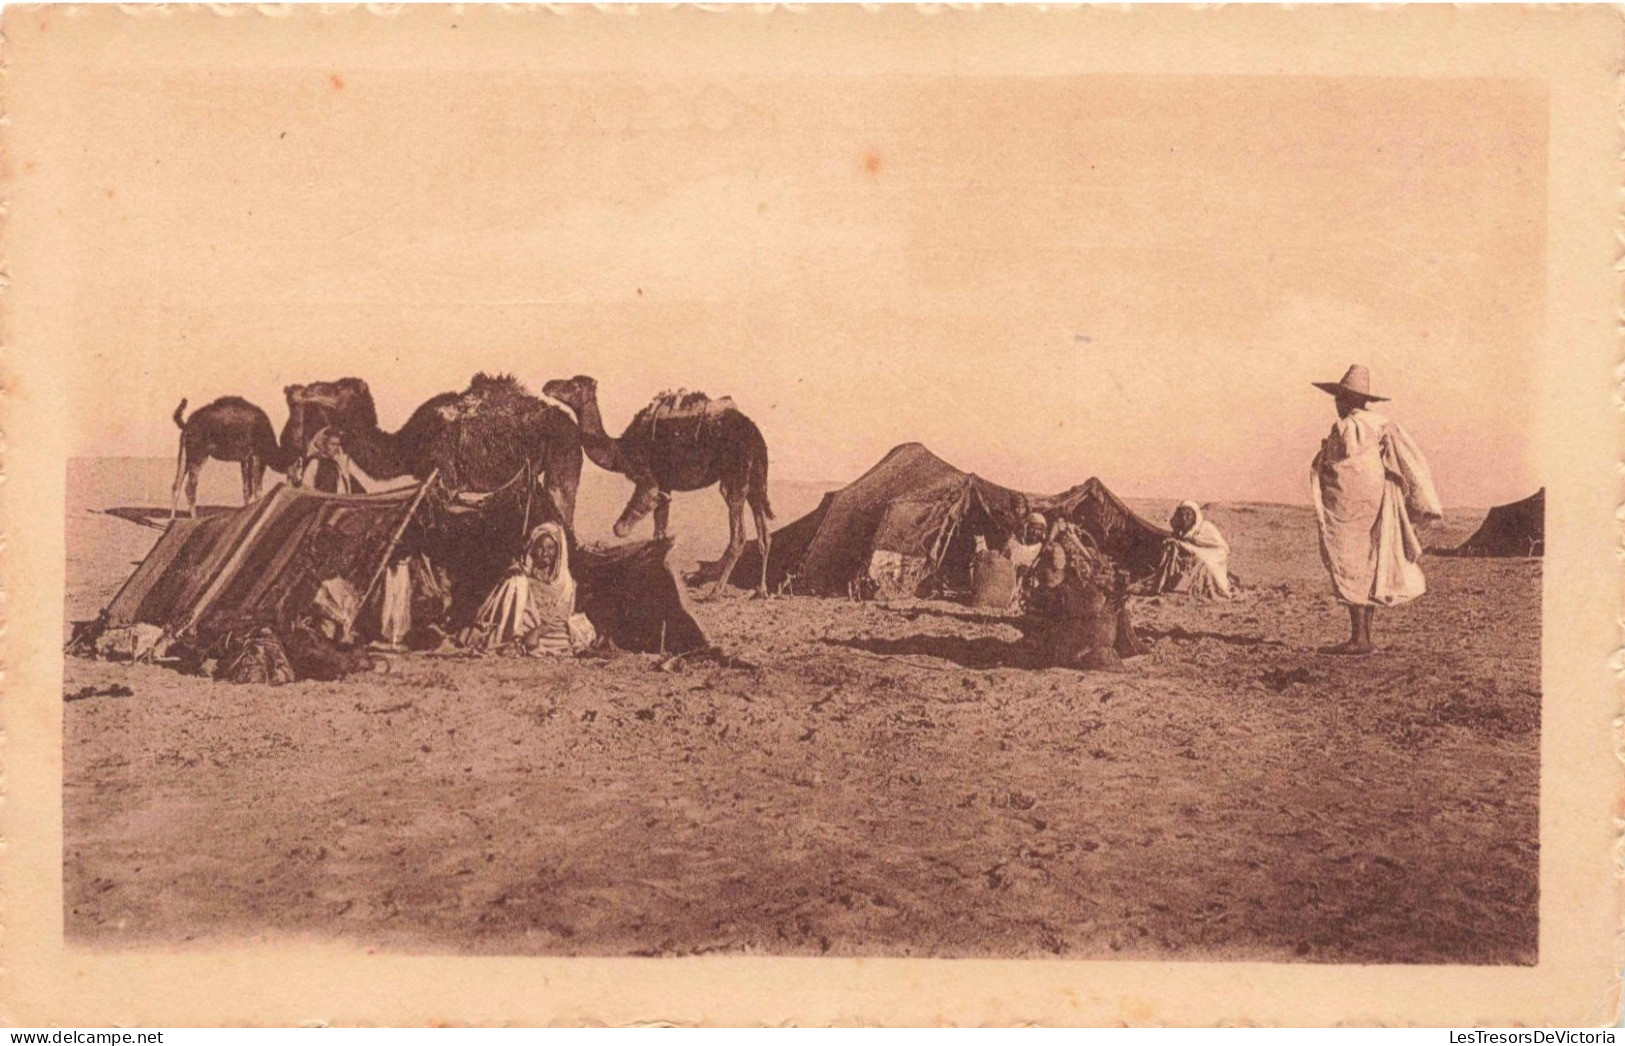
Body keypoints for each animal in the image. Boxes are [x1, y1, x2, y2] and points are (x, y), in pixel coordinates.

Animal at [539, 375, 773, 597]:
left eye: (575, 385)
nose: (548, 385)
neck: (621, 451)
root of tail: (755, 435)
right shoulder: (665, 484)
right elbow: (659, 531)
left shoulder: (648, 480)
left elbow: (622, 528)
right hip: (755, 479)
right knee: (764, 534)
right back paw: (761, 590)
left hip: (735, 475)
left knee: (738, 536)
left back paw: (715, 592)